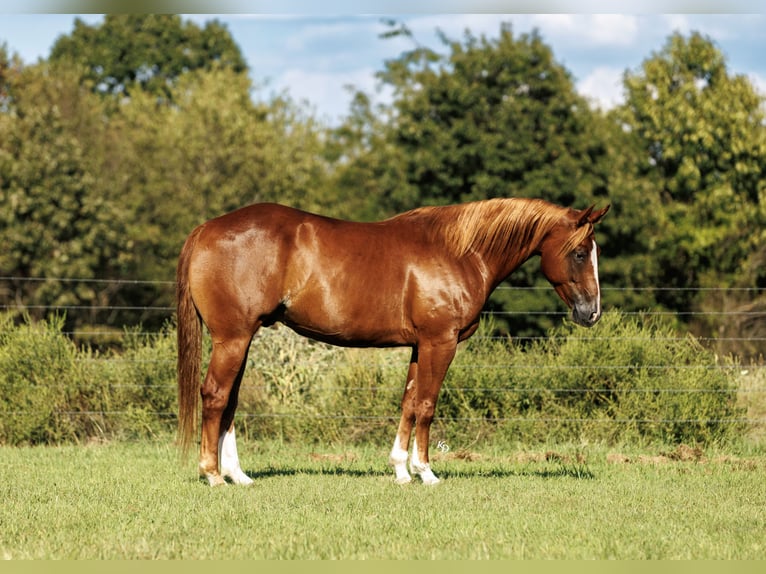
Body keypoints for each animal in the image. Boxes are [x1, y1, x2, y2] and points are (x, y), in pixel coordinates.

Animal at [176, 197, 609, 486]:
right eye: (579, 252)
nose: (592, 312)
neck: (460, 251)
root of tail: (206, 229)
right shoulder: (440, 342)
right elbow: (427, 405)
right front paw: (426, 471)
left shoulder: (420, 346)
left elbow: (409, 403)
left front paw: (401, 469)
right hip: (233, 339)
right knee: (215, 396)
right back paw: (212, 475)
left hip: (240, 340)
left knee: (230, 401)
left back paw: (238, 475)